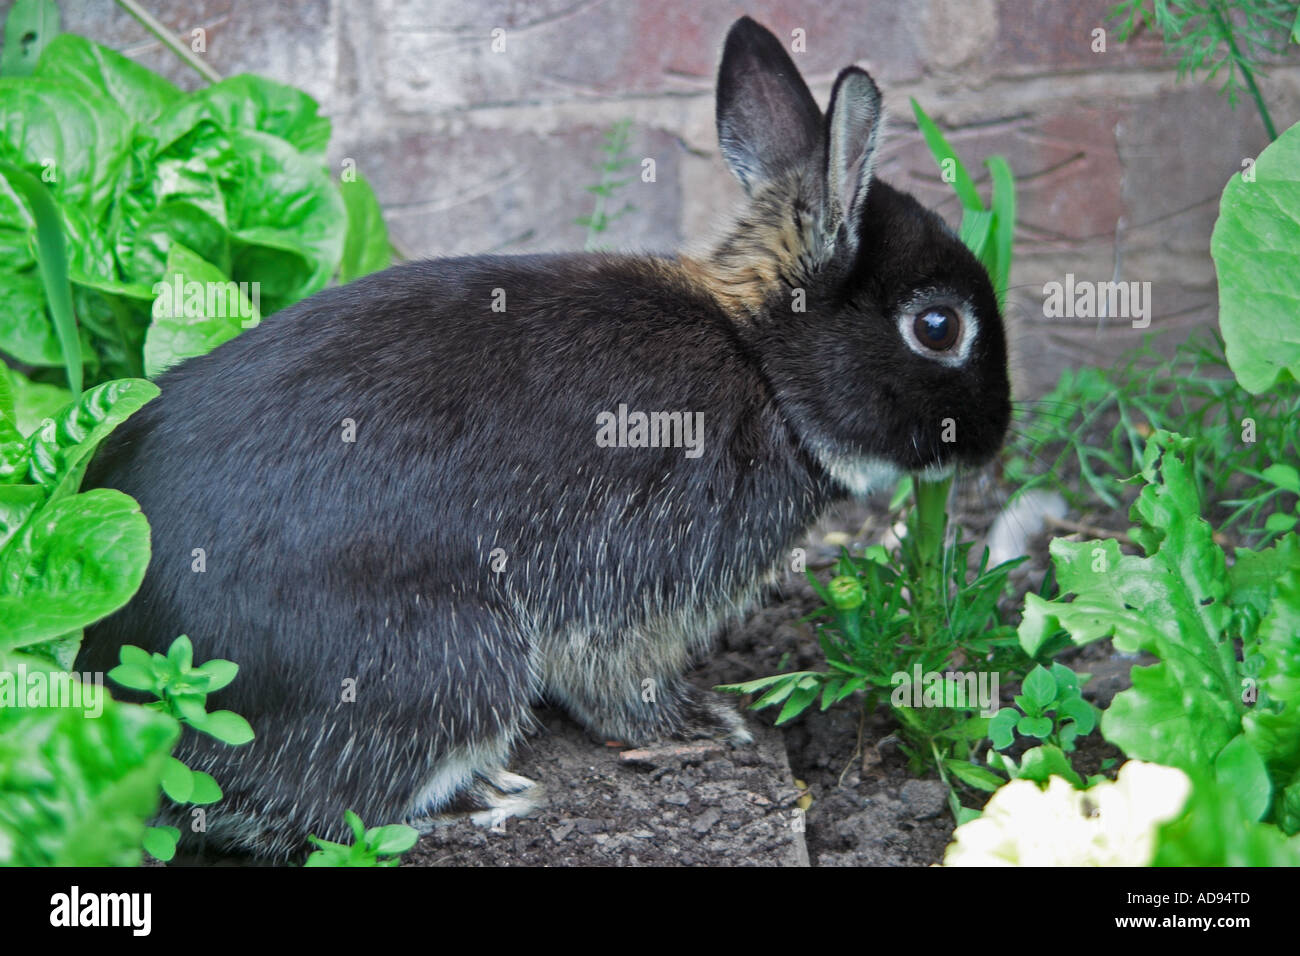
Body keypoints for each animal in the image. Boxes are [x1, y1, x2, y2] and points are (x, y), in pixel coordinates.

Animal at [76, 15, 1010, 861]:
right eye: (938, 326)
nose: (994, 435)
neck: (765, 365)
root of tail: (121, 666)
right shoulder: (635, 573)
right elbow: (618, 682)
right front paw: (700, 725)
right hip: (449, 661)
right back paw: (492, 798)